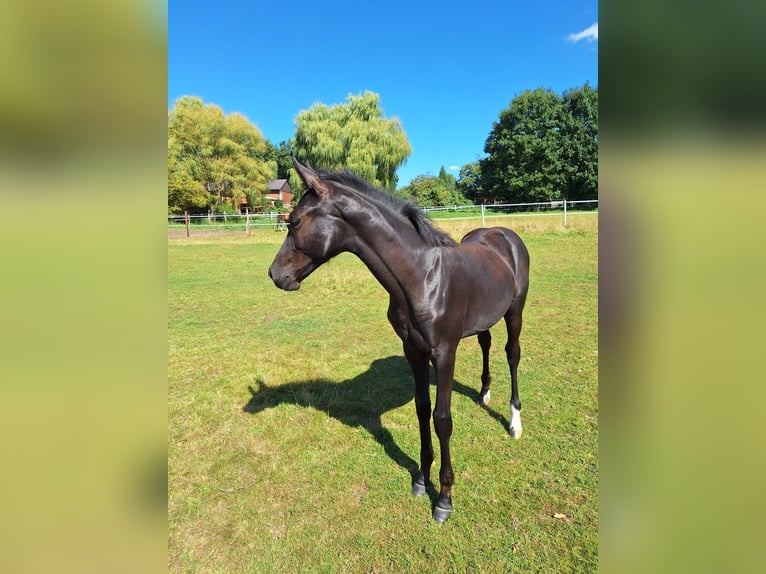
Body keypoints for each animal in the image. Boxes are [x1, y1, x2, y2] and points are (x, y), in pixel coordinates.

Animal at [268, 158, 530, 523]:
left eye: (294, 221)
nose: (276, 275)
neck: (421, 277)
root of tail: (504, 234)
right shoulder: (413, 351)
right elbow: (421, 409)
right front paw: (421, 478)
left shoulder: (444, 353)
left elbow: (442, 419)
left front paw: (444, 498)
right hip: (485, 317)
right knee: (486, 344)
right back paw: (484, 393)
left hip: (515, 312)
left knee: (512, 354)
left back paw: (514, 422)